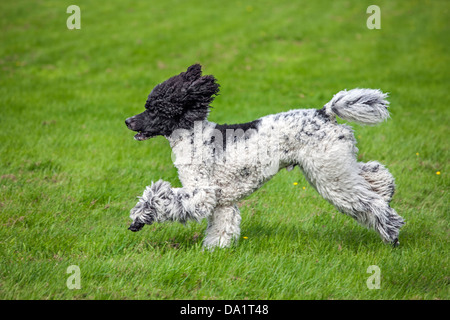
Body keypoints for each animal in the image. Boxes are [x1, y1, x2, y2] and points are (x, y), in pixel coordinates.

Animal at [125, 65, 404, 249]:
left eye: (154, 109)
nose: (128, 120)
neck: (193, 135)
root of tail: (325, 112)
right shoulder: (223, 201)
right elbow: (222, 228)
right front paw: (214, 251)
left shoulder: (202, 192)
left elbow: (159, 197)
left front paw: (139, 217)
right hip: (336, 164)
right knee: (375, 173)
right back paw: (387, 193)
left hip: (329, 174)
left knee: (370, 203)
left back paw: (391, 234)